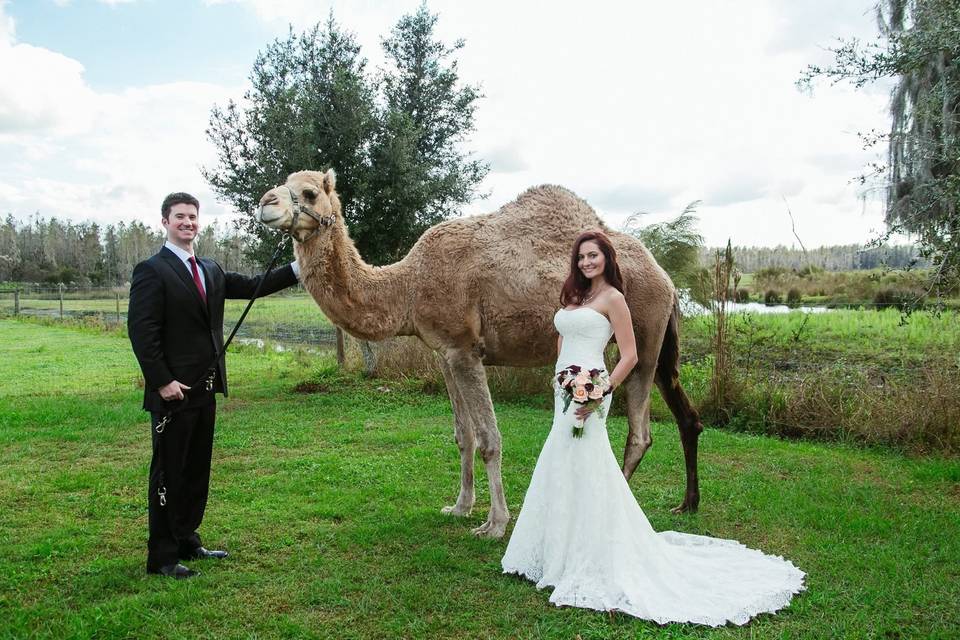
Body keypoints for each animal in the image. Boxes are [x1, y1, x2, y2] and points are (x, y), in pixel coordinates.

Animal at [258, 171, 700, 540]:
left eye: (309, 192)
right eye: (282, 182)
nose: (265, 202)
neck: (408, 285)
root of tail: (666, 278)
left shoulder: (465, 349)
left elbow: (489, 439)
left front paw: (495, 524)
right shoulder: (445, 353)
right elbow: (463, 436)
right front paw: (459, 507)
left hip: (642, 337)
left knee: (640, 433)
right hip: (660, 345)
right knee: (683, 416)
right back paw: (686, 504)